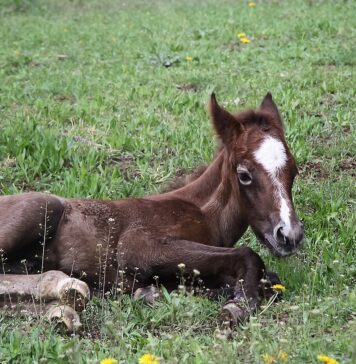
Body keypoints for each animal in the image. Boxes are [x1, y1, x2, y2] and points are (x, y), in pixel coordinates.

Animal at [0, 93, 304, 330]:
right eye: (244, 175)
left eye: (294, 170)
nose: (289, 235)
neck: (204, 213)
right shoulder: (138, 246)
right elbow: (248, 256)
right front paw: (238, 305)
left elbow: (270, 281)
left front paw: (152, 292)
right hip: (42, 207)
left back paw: (62, 307)